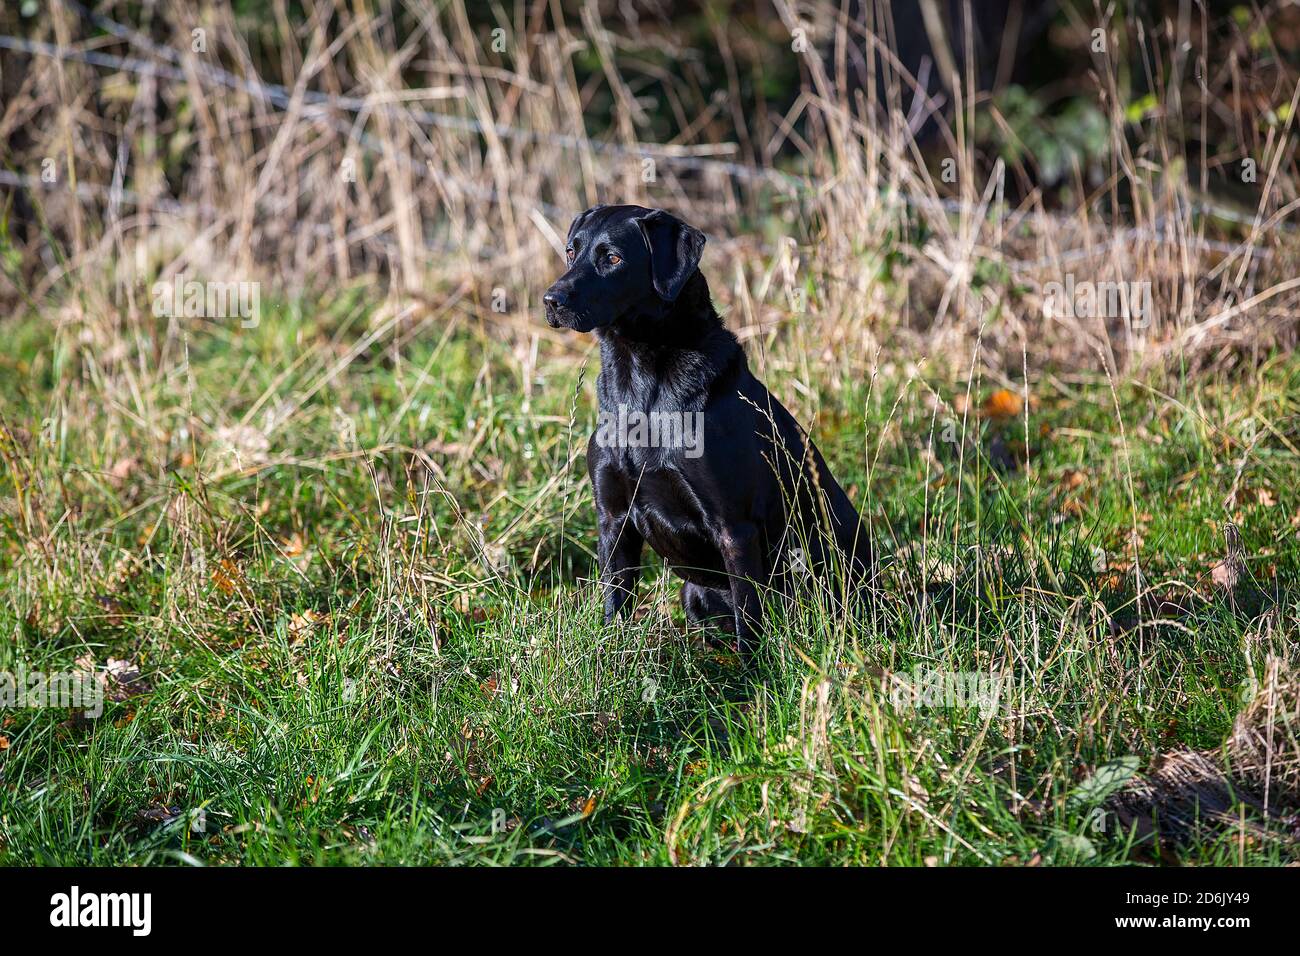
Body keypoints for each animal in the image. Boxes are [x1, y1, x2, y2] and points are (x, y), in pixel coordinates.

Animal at [543, 206, 868, 658]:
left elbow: (750, 617)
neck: (640, 382)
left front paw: (753, 672)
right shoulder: (613, 517)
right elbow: (615, 603)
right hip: (693, 594)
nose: (551, 300)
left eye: (613, 258)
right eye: (571, 251)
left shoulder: (734, 526)